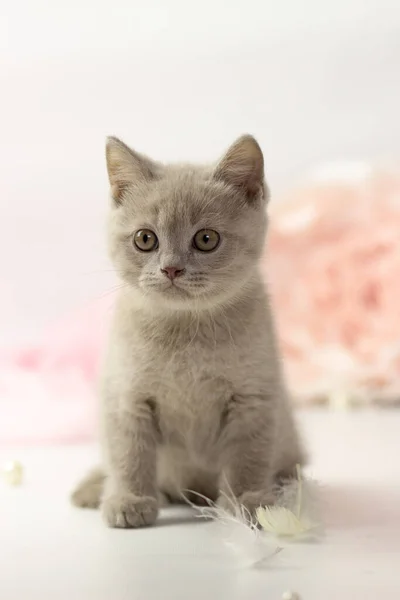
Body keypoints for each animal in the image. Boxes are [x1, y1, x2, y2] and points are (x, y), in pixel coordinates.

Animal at [71, 135, 304, 524]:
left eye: (206, 239)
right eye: (145, 239)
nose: (171, 269)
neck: (185, 330)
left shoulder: (253, 397)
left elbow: (248, 455)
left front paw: (247, 501)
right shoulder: (126, 396)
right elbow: (128, 453)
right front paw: (129, 500)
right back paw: (92, 488)